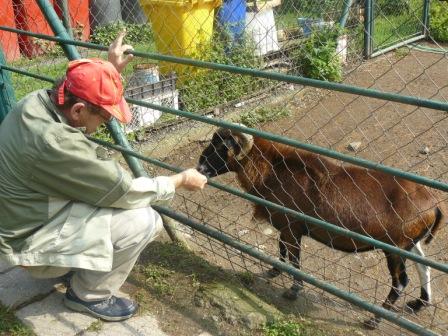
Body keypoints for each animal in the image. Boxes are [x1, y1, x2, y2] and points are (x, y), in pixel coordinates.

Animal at [198, 127, 446, 330]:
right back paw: (419, 303)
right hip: (409, 244)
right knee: (424, 267)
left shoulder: (292, 227)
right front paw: (274, 271)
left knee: (401, 282)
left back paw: (374, 320)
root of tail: (434, 205)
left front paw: (293, 290)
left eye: (223, 147)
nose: (200, 167)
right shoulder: (285, 226)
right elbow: (281, 249)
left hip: (395, 248)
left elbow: (294, 259)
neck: (274, 169)